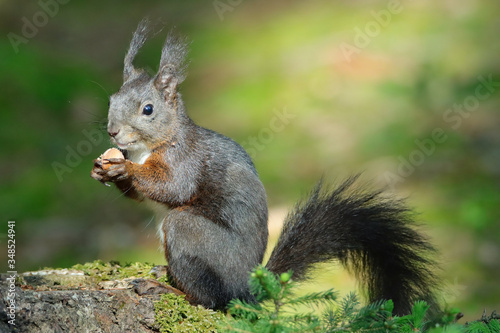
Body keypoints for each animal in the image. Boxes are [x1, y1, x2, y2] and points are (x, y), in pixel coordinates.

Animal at [92, 19, 440, 316]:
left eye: (148, 109)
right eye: (111, 100)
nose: (113, 131)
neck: (147, 148)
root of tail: (246, 289)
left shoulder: (185, 160)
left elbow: (173, 187)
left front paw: (125, 170)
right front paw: (102, 169)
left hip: (189, 233)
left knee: (210, 299)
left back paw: (166, 289)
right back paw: (163, 272)